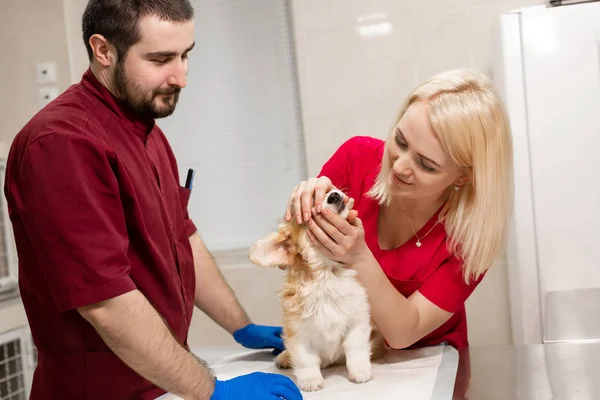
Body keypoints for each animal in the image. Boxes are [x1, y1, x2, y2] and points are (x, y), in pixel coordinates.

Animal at [247, 188, 384, 390]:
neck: (326, 276)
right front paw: (310, 380)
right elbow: (306, 360)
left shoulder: (357, 322)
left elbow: (355, 349)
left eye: (325, 191)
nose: (334, 195)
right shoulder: (298, 334)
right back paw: (284, 358)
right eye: (309, 208)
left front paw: (360, 371)